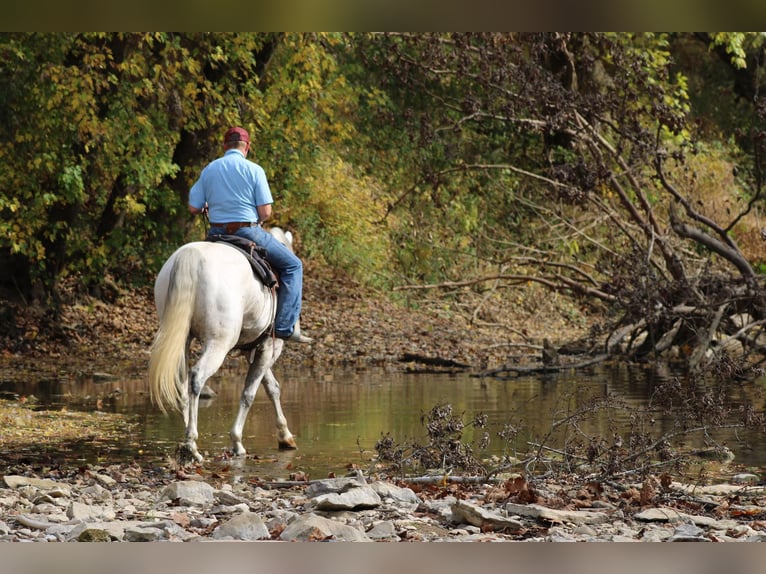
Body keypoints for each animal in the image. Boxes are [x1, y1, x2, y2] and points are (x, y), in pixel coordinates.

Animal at [148, 228, 298, 464]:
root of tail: (191, 257)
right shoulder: (270, 347)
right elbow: (249, 393)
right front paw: (237, 442)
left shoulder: (255, 349)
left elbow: (271, 387)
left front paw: (285, 436)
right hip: (219, 343)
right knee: (197, 377)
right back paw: (192, 445)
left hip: (181, 338)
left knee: (182, 384)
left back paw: (186, 438)